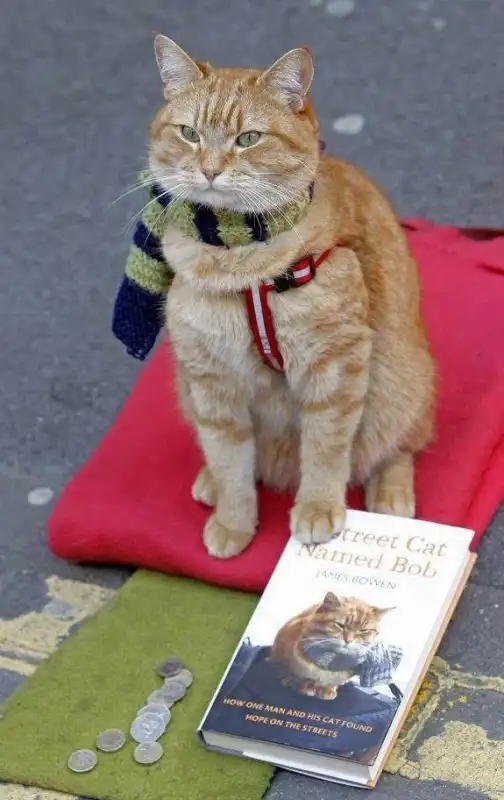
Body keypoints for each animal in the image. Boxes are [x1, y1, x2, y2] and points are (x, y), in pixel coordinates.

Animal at [148, 36, 435, 559]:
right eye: (189, 133)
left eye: (248, 139)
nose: (208, 170)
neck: (238, 263)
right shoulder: (209, 379)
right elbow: (229, 459)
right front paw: (234, 520)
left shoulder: (334, 366)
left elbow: (325, 449)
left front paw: (318, 508)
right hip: (185, 386)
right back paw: (210, 483)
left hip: (399, 385)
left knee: (397, 446)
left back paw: (391, 495)